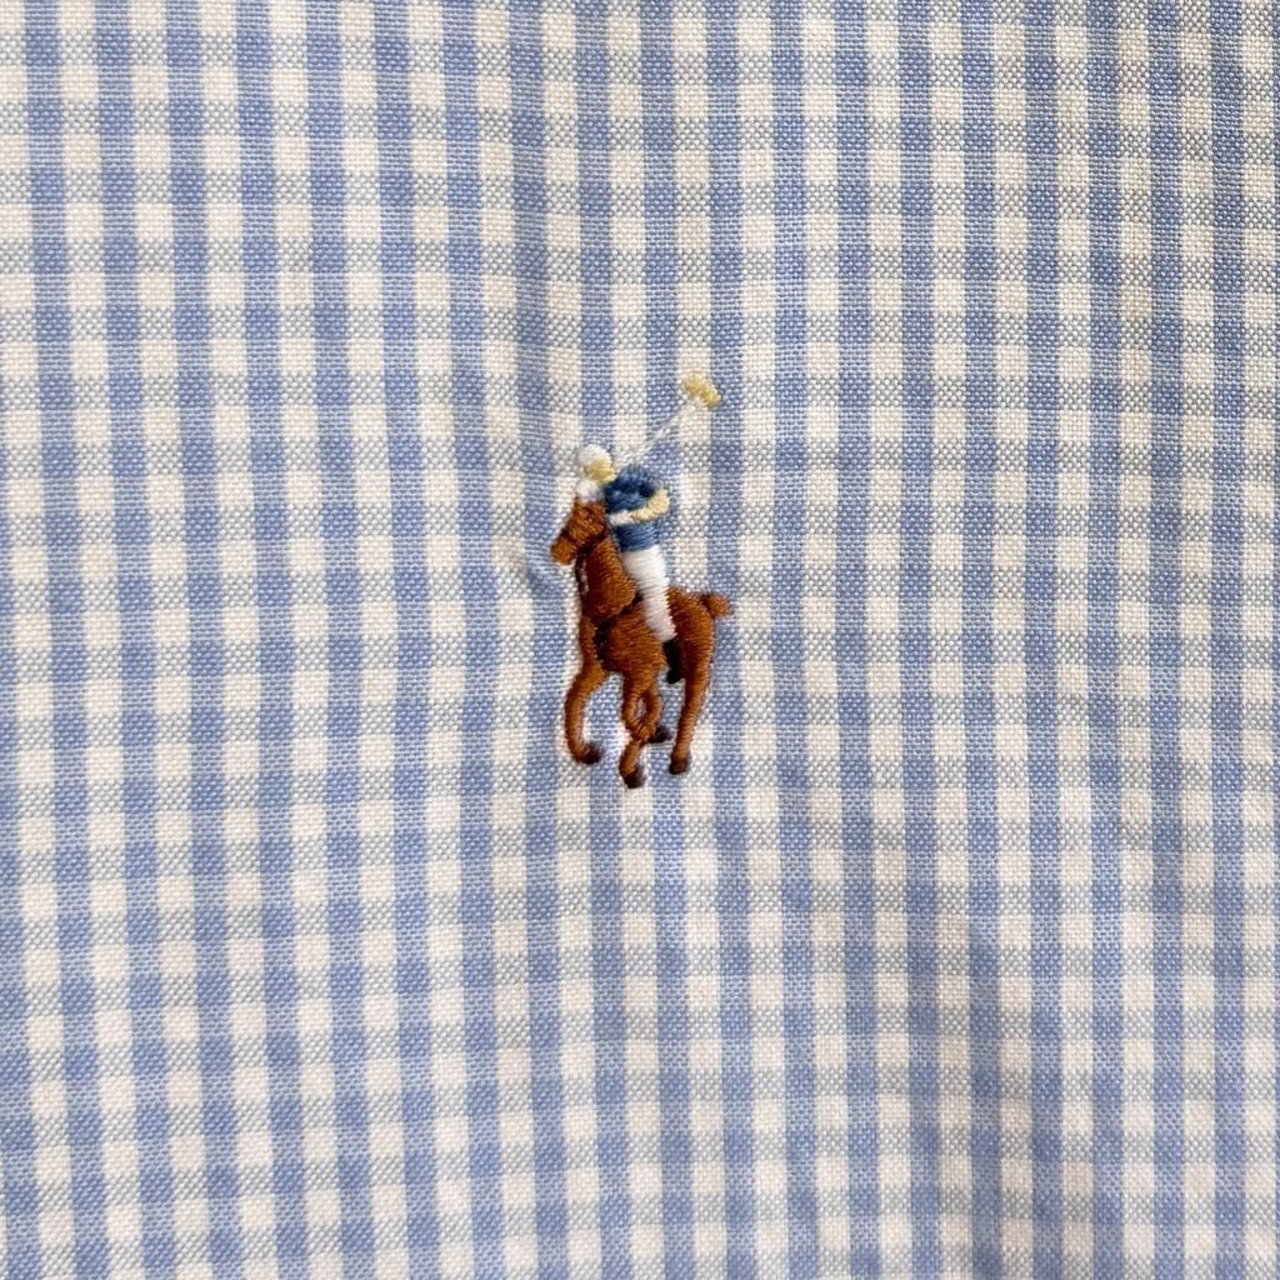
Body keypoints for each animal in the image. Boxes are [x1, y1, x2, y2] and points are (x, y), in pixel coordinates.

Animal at [551, 499, 732, 787]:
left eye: (589, 519)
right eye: (570, 517)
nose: (557, 552)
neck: (610, 606)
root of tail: (702, 601)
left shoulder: (639, 671)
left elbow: (628, 713)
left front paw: (632, 762)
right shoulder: (598, 668)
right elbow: (575, 700)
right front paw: (585, 752)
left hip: (699, 662)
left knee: (690, 707)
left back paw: (678, 759)